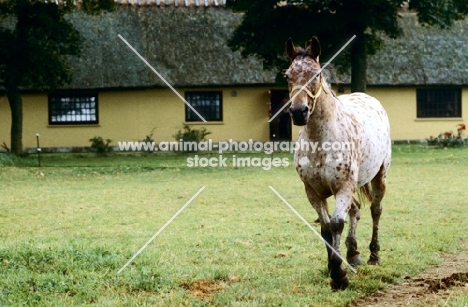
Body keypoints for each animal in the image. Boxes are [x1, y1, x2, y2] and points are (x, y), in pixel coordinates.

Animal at [286, 36, 392, 292]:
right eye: (287, 75)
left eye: (316, 74)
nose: (298, 112)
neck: (320, 142)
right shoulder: (314, 192)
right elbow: (325, 227)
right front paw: (333, 267)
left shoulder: (343, 187)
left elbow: (335, 224)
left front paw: (339, 275)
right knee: (355, 209)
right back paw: (353, 253)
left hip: (379, 176)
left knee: (375, 210)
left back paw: (374, 255)